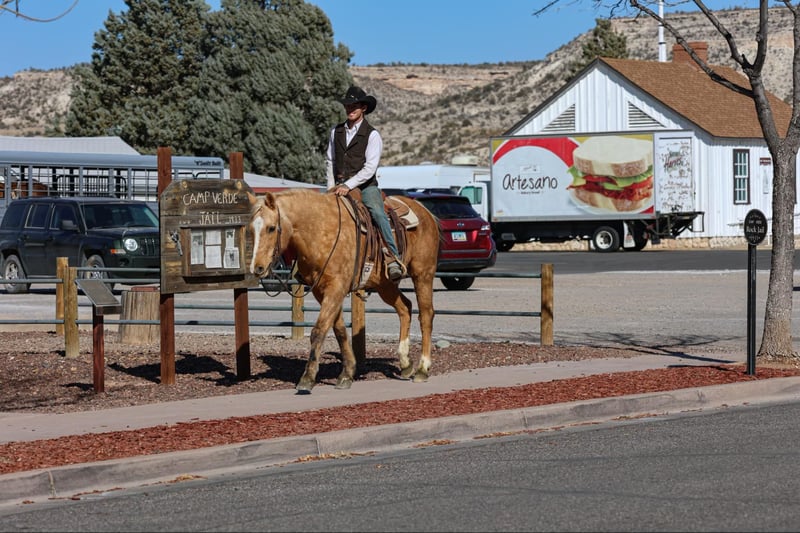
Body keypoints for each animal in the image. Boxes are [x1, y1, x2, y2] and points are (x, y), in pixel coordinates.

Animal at [247, 188, 440, 393]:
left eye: (271, 228)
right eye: (250, 229)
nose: (257, 268)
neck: (320, 230)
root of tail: (425, 211)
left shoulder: (336, 288)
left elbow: (319, 329)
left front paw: (307, 378)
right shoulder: (322, 291)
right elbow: (338, 329)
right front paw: (347, 373)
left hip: (423, 274)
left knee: (426, 315)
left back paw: (422, 369)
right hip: (385, 284)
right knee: (405, 307)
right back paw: (405, 363)